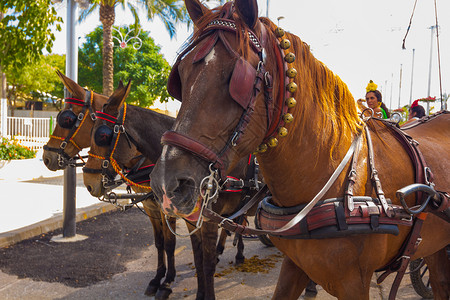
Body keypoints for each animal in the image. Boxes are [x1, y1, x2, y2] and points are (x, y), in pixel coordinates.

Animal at [83, 81, 264, 298]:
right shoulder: (181, 217)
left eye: (102, 135)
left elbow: (197, 258)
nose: (88, 182)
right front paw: (184, 288)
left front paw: (167, 283)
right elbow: (194, 256)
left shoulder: (203, 219)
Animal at [151, 1, 450, 298]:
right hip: (435, 247)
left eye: (235, 78)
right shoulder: (295, 264)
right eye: (180, 77)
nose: (166, 184)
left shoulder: (354, 283)